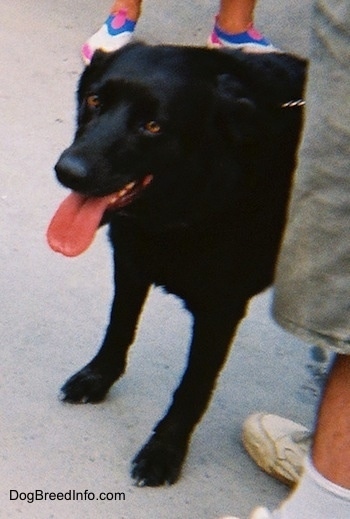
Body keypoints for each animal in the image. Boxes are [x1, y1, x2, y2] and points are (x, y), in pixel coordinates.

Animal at [47, 43, 306, 488]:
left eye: (153, 126)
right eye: (95, 100)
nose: (69, 172)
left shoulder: (220, 311)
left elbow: (192, 388)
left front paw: (164, 451)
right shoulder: (130, 263)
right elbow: (118, 329)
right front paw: (98, 378)